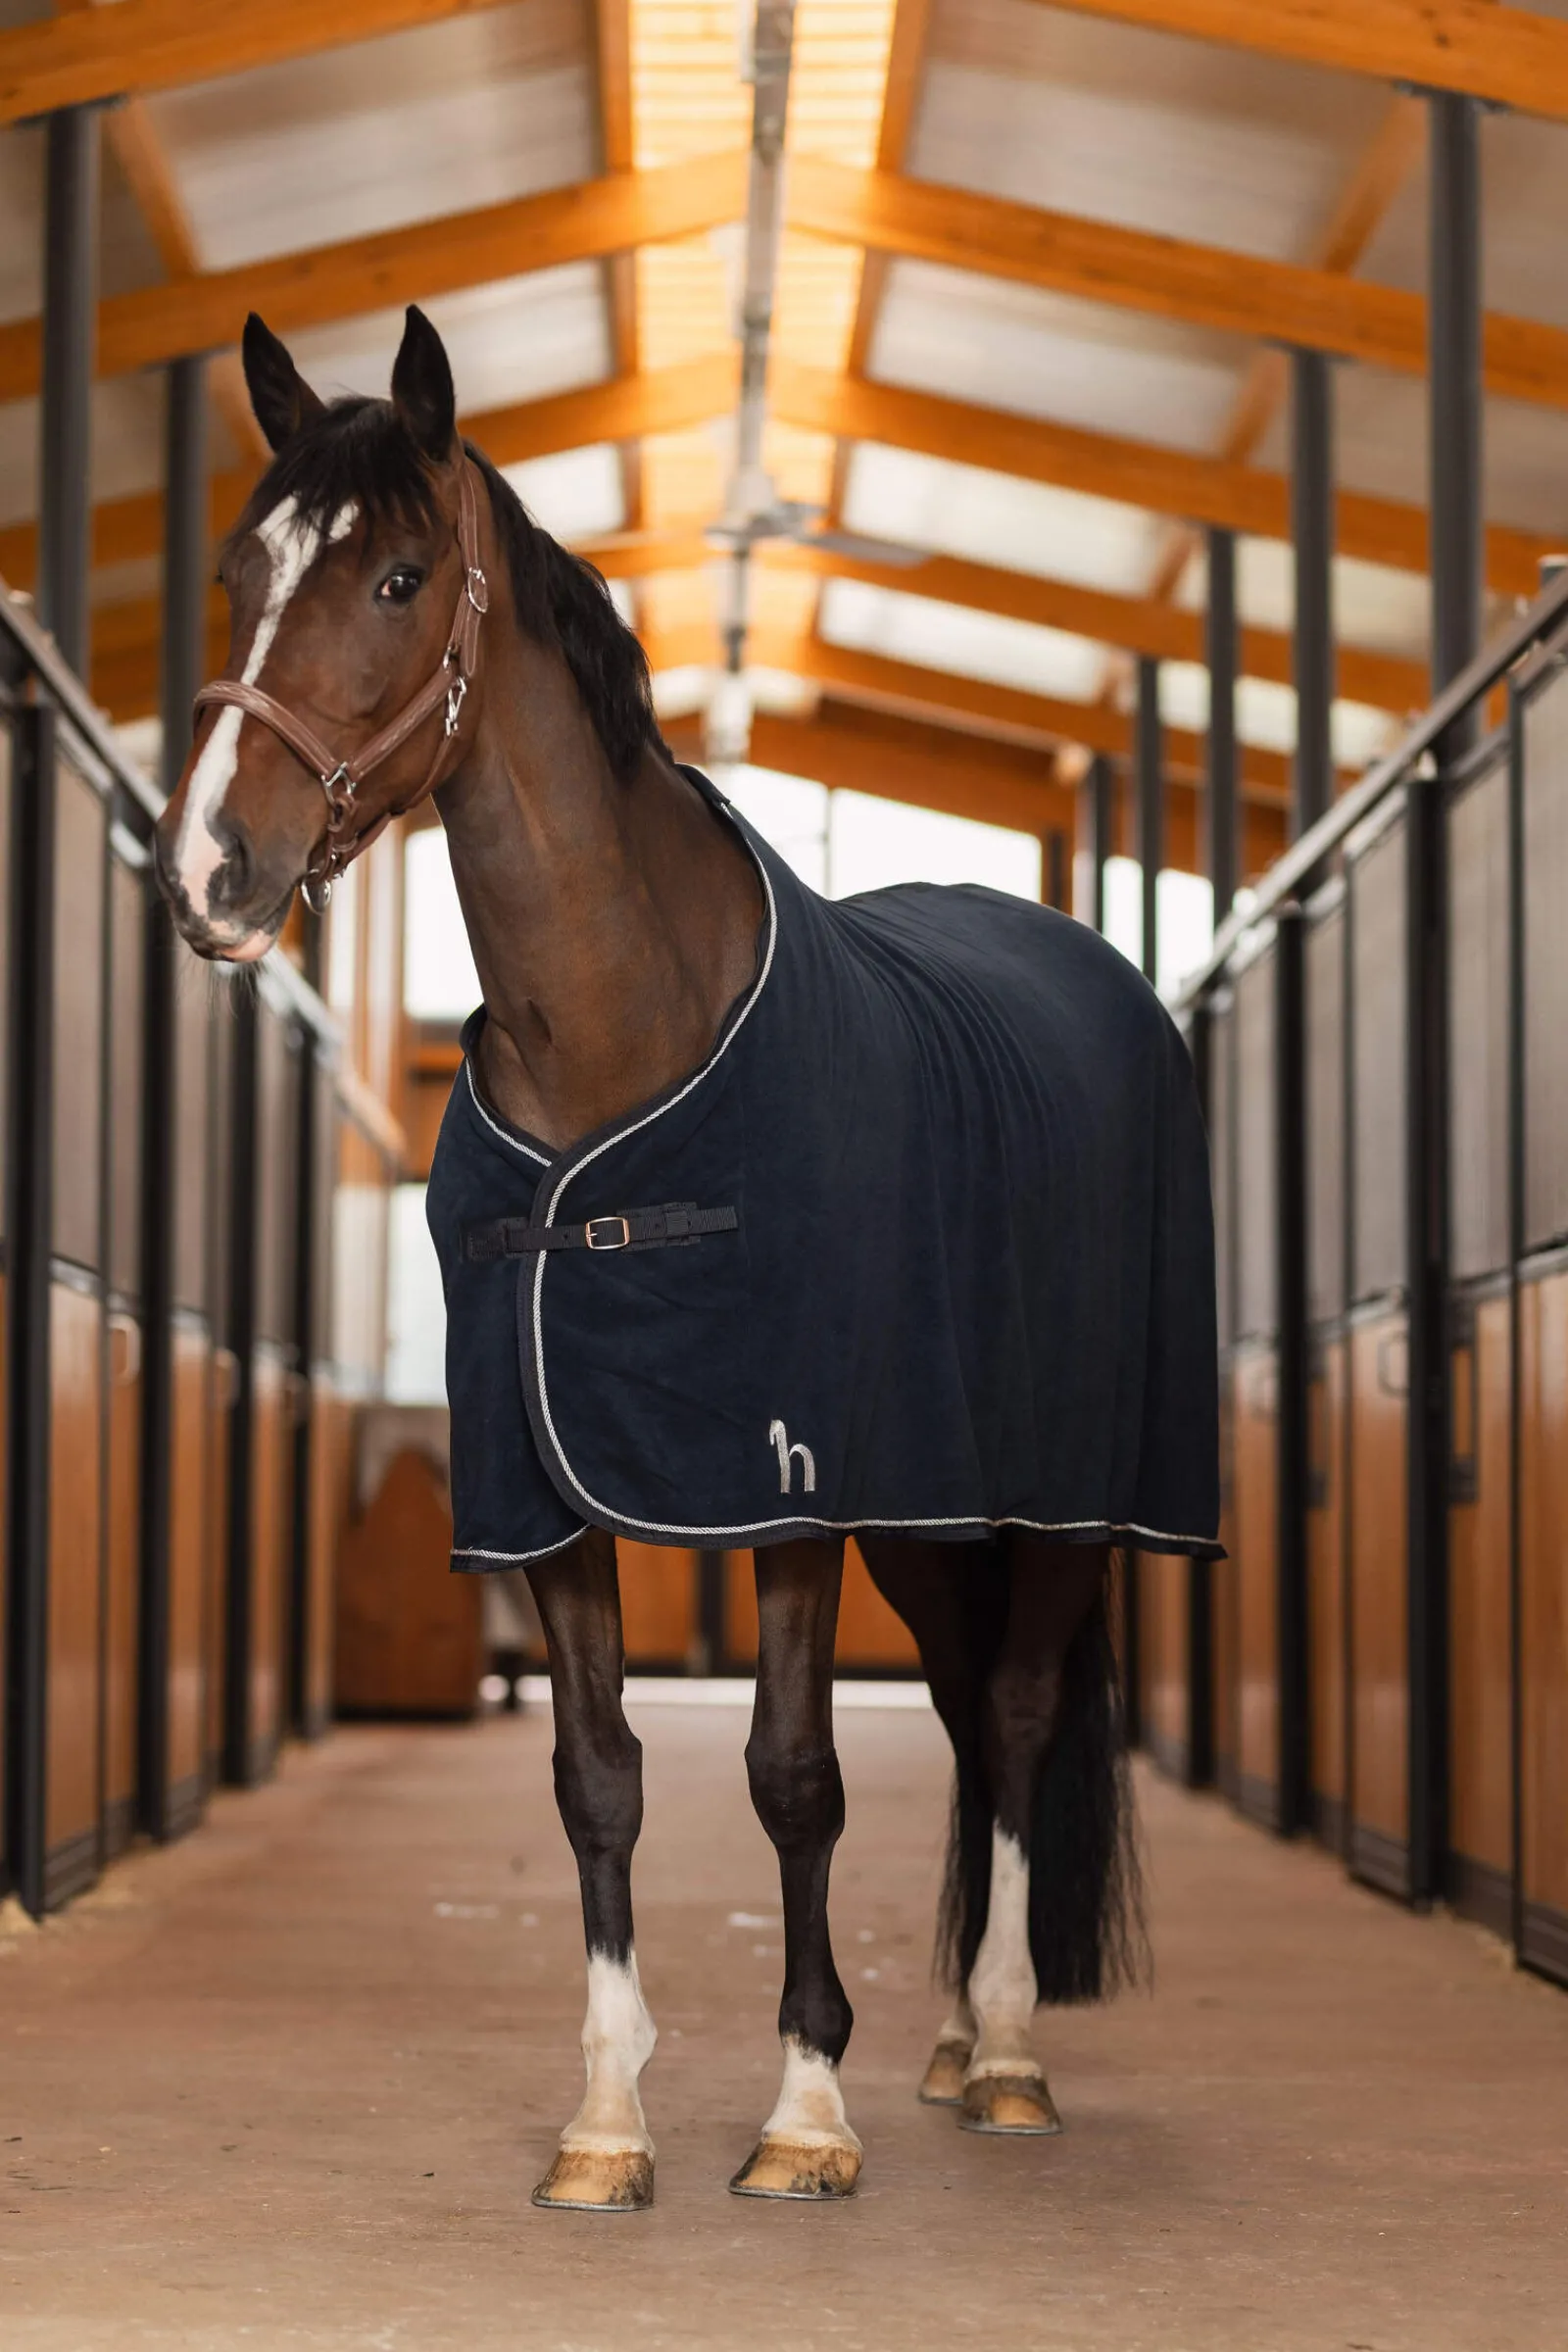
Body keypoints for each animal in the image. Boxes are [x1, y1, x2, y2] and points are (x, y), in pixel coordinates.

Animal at [153, 305, 1221, 2213]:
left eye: (399, 577)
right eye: (238, 572)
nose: (209, 867)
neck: (622, 1048)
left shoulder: (782, 1488)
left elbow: (794, 1775)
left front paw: (804, 2113)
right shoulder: (546, 1490)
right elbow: (598, 1778)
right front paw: (606, 2126)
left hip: (1068, 1503)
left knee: (1022, 1714)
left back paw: (1006, 2054)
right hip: (929, 1509)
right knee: (965, 1715)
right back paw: (948, 2041)